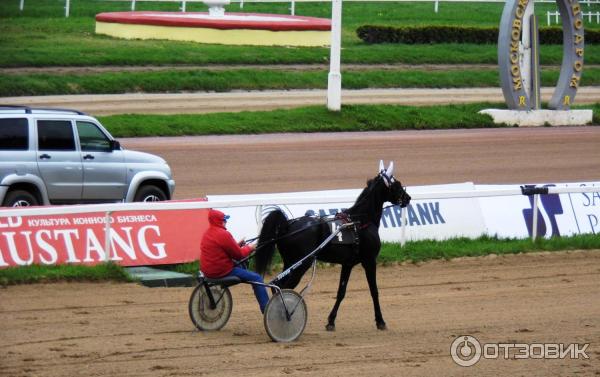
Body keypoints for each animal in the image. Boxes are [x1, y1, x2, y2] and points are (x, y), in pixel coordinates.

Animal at [255, 161, 410, 328]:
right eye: (397, 184)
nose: (408, 198)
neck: (360, 221)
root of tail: (287, 226)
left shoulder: (348, 264)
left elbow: (341, 292)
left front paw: (331, 321)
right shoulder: (369, 261)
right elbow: (374, 291)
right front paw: (380, 321)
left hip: (290, 262)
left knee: (278, 286)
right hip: (302, 264)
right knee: (283, 287)